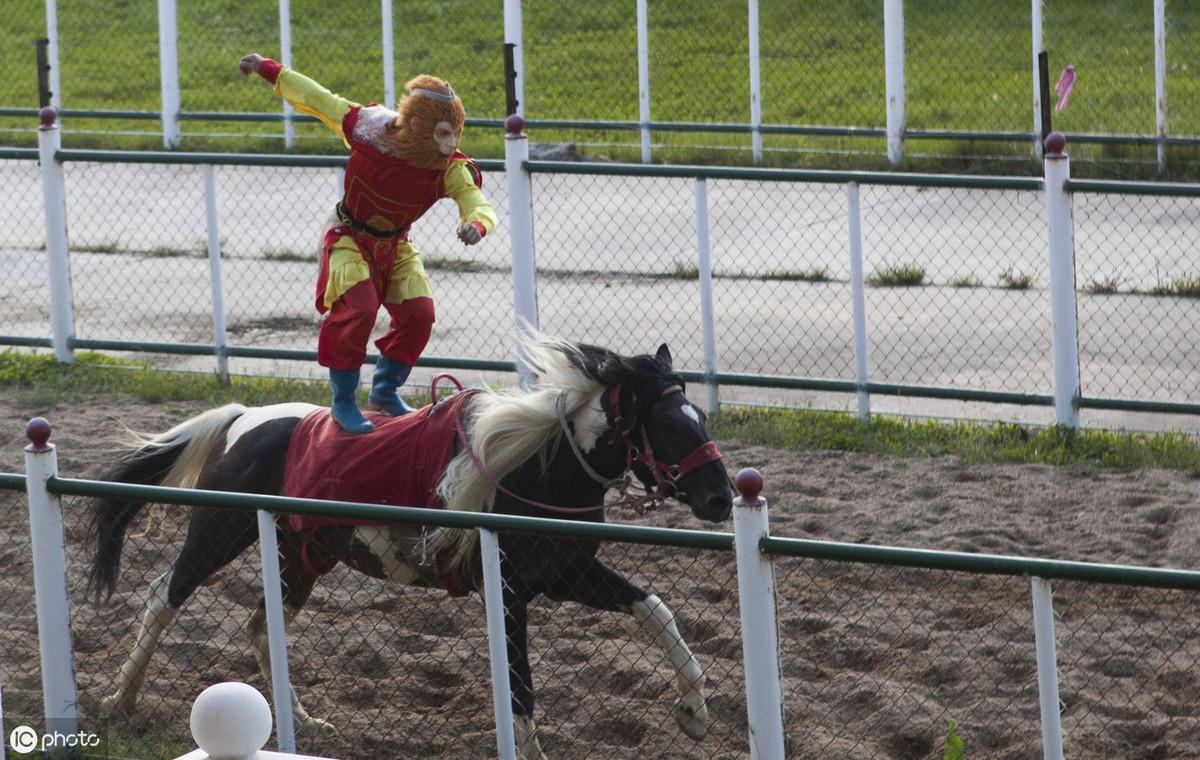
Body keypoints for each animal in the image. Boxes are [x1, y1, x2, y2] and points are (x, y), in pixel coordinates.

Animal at [88, 333, 729, 753]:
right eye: (668, 424)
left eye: (701, 417)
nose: (722, 497)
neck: (531, 467)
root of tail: (245, 419)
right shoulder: (509, 591)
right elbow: (520, 686)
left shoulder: (568, 576)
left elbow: (656, 609)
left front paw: (694, 712)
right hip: (220, 531)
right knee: (163, 598)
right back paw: (120, 701)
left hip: (300, 556)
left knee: (261, 626)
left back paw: (305, 722)